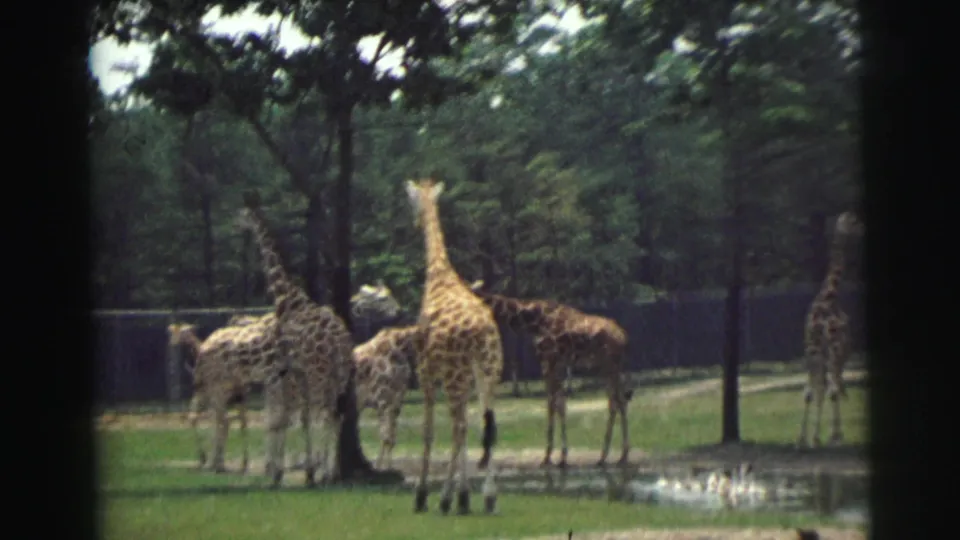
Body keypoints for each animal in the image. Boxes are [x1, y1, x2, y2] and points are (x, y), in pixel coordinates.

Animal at [237, 191, 355, 487]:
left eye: (240, 214)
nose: (236, 227)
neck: (287, 298)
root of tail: (340, 343)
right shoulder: (294, 371)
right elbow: (298, 417)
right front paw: (303, 469)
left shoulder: (287, 369)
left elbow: (286, 416)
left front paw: (288, 471)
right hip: (340, 374)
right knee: (335, 414)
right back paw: (331, 472)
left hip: (319, 372)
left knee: (323, 413)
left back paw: (323, 473)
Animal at [405, 178, 504, 515]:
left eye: (411, 200)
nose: (415, 220)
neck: (438, 274)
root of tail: (482, 334)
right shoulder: (467, 378)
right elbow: (468, 427)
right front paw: (467, 494)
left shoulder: (425, 369)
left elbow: (428, 429)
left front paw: (423, 495)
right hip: (488, 371)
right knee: (486, 424)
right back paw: (487, 497)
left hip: (455, 376)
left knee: (459, 426)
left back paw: (448, 498)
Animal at [467, 280, 634, 468]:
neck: (531, 321)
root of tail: (623, 338)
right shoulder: (558, 364)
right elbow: (560, 404)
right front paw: (560, 456)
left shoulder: (548, 361)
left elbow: (552, 404)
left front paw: (549, 457)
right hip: (609, 367)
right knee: (618, 400)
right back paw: (612, 456)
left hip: (609, 365)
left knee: (617, 401)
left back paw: (613, 456)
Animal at [798, 211, 864, 448]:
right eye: (854, 222)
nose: (863, 229)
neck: (829, 295)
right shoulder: (840, 353)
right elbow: (835, 389)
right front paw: (834, 434)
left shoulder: (816, 352)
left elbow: (818, 389)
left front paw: (814, 436)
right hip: (833, 354)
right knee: (831, 389)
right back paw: (830, 436)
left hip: (813, 353)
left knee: (812, 390)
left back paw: (807, 438)